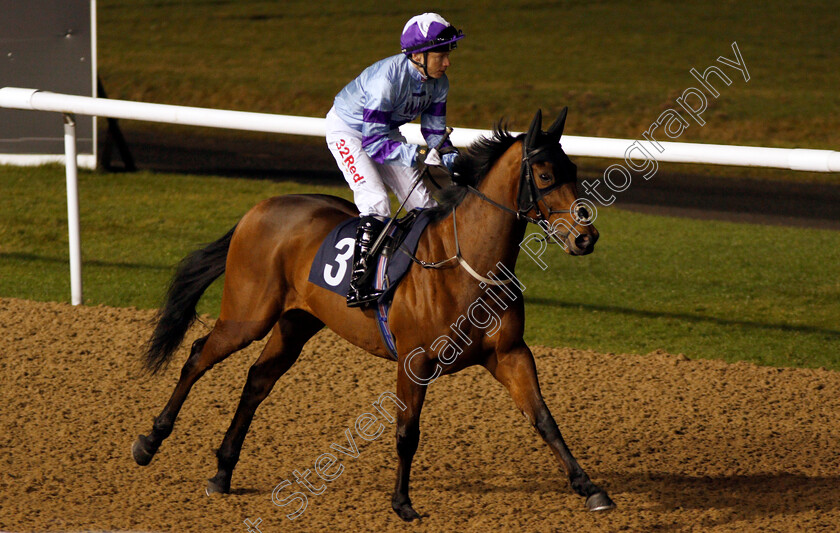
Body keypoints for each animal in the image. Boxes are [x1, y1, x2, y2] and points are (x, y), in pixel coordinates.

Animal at [133, 108, 616, 520]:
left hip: (295, 322)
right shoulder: (415, 361)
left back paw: (222, 471)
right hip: (247, 315)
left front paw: (590, 487)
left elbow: (545, 419)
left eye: (574, 171)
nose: (586, 237)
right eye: (546, 174)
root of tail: (261, 207)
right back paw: (150, 442)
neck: (465, 265)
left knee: (257, 380)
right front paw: (402, 502)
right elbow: (407, 432)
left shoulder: (511, 353)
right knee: (198, 355)